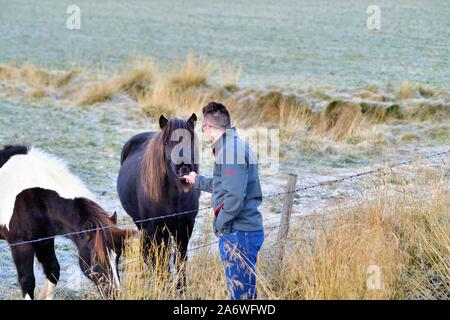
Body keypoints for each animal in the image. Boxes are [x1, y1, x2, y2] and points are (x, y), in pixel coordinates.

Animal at [117, 114, 200, 284]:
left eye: (190, 141)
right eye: (167, 142)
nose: (183, 168)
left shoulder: (185, 229)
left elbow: (180, 261)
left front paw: (181, 287)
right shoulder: (156, 230)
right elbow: (162, 263)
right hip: (143, 224)